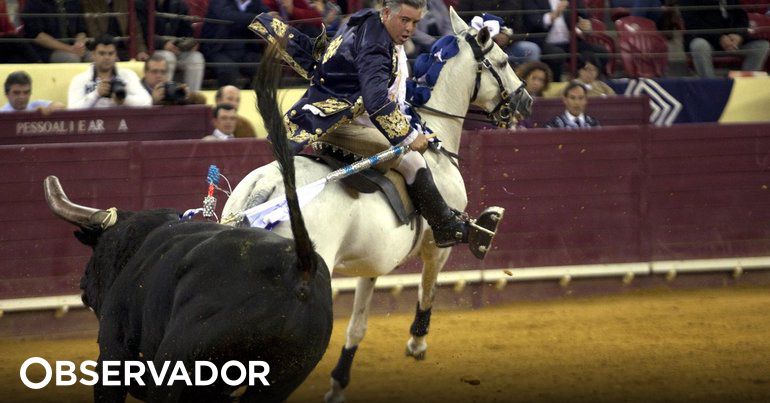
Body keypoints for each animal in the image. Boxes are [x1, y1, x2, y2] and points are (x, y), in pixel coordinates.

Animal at [220, 9, 528, 403]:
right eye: (503, 61)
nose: (525, 100)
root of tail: (264, 191)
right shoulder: (436, 247)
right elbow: (428, 287)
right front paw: (416, 343)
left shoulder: (372, 263)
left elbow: (358, 325)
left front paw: (339, 382)